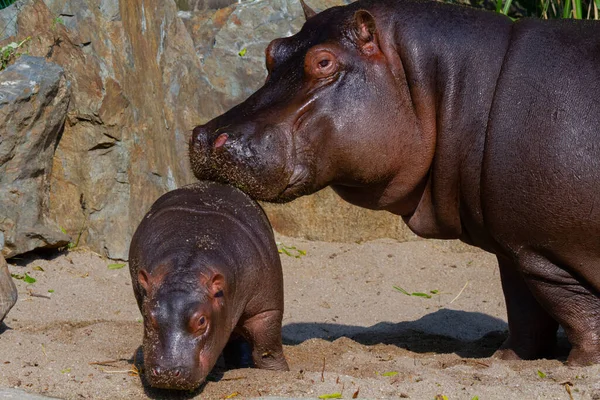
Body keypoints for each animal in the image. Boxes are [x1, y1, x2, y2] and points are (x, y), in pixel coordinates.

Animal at [127, 181, 290, 390]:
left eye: (202, 321)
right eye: (147, 317)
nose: (167, 374)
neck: (186, 269)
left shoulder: (266, 310)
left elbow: (267, 351)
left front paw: (279, 372)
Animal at [190, 0, 600, 364]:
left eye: (323, 61)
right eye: (272, 50)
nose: (206, 136)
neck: (461, 88)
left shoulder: (545, 255)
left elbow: (578, 315)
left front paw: (579, 364)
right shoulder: (516, 250)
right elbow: (526, 316)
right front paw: (507, 360)